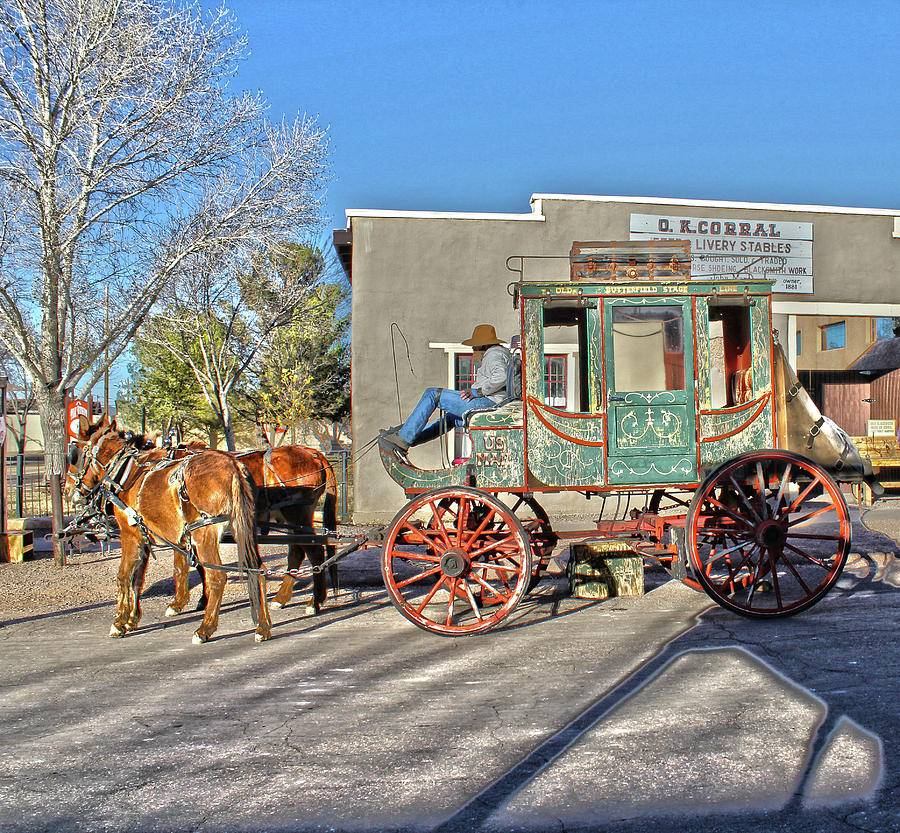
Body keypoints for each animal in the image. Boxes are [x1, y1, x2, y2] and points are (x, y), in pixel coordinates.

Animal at [66, 420, 270, 648]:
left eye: (74, 455)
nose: (68, 490)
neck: (126, 474)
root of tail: (233, 466)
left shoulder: (130, 536)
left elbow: (124, 576)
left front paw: (119, 622)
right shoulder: (146, 539)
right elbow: (138, 579)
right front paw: (132, 618)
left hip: (203, 533)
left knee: (217, 576)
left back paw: (205, 629)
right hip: (242, 528)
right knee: (258, 570)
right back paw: (263, 627)